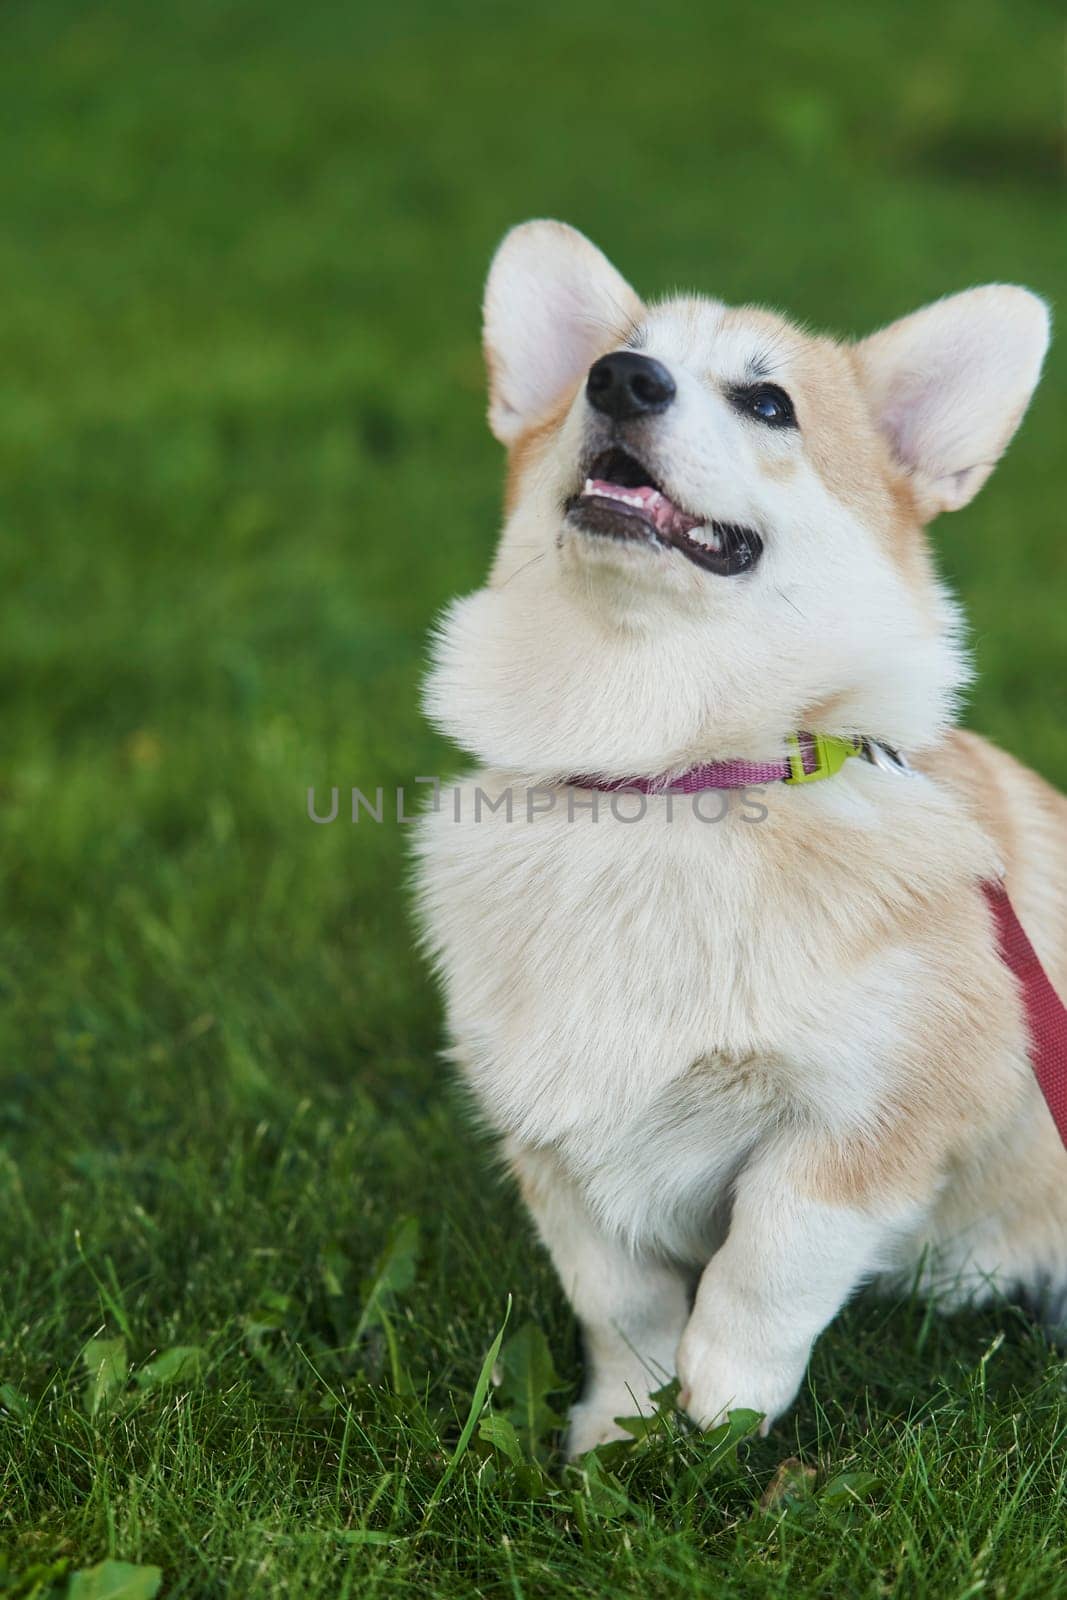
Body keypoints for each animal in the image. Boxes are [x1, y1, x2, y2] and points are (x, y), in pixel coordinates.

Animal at [412, 219, 1062, 1459]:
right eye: (603, 361)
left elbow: (770, 1251)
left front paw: (723, 1398)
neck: (666, 774)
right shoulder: (555, 1141)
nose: (620, 380)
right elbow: (616, 1297)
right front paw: (618, 1427)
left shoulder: (870, 1114)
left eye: (768, 402)